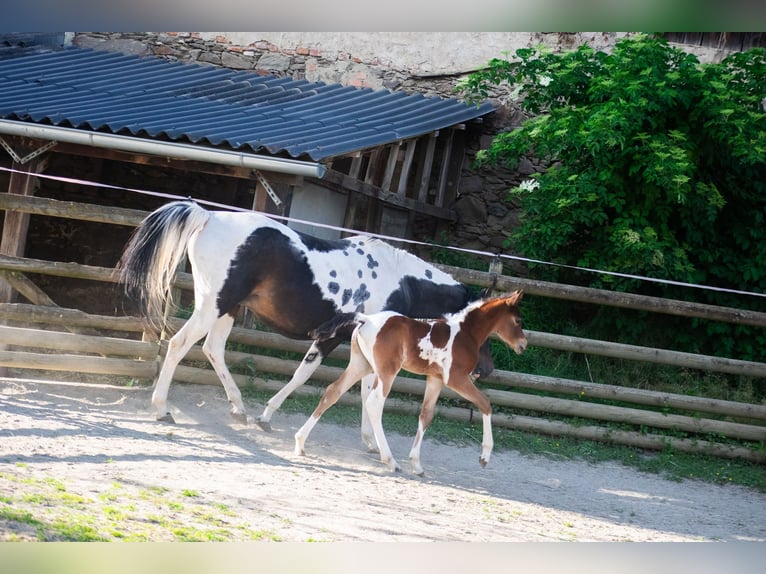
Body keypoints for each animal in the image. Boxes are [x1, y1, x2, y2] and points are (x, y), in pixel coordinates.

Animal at [117, 199, 495, 446]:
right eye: (481, 328)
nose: (485, 369)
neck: (401, 281)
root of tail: (208, 216)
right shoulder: (338, 337)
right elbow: (307, 375)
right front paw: (268, 417)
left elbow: (356, 387)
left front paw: (369, 441)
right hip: (213, 305)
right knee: (179, 344)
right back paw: (163, 409)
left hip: (227, 309)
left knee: (213, 349)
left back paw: (239, 408)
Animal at [294, 290, 526, 475]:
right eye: (517, 321)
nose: (523, 344)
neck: (465, 332)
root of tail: (366, 319)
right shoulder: (455, 378)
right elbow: (485, 403)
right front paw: (484, 457)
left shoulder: (435, 379)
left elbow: (426, 415)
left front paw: (417, 465)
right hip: (387, 372)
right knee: (374, 404)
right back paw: (390, 461)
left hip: (361, 364)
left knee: (332, 392)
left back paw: (300, 443)